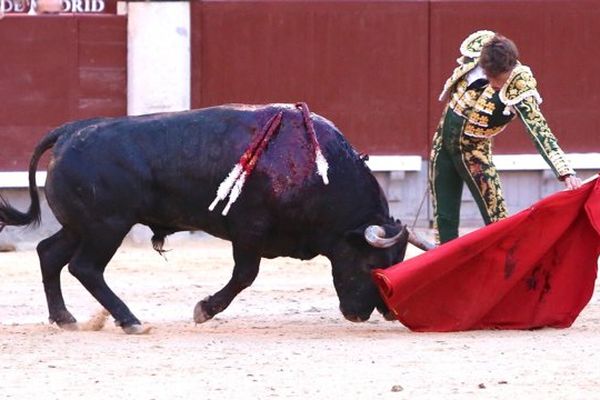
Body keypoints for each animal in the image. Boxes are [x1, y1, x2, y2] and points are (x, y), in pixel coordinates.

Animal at [1, 104, 422, 334]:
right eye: (369, 263)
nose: (363, 315)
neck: (315, 170)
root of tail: (70, 131)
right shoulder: (248, 232)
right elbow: (244, 276)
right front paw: (204, 310)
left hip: (81, 226)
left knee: (49, 253)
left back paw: (65, 318)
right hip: (107, 226)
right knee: (84, 267)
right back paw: (130, 320)